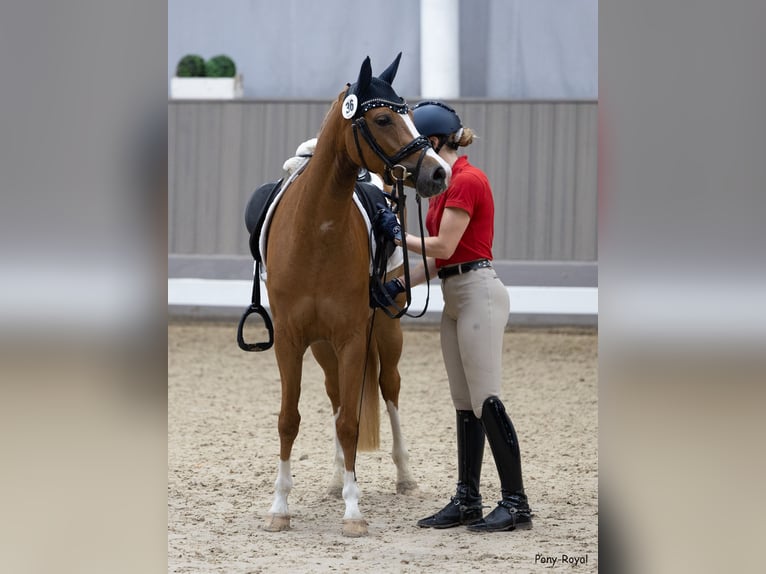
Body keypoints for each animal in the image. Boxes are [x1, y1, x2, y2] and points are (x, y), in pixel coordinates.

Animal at [264, 55, 450, 540]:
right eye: (383, 118)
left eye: (410, 113)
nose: (438, 172)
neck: (316, 230)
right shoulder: (291, 340)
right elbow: (290, 420)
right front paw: (280, 507)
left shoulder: (352, 337)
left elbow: (351, 422)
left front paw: (353, 512)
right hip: (323, 349)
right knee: (335, 397)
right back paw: (333, 480)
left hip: (385, 334)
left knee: (389, 389)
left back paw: (404, 477)